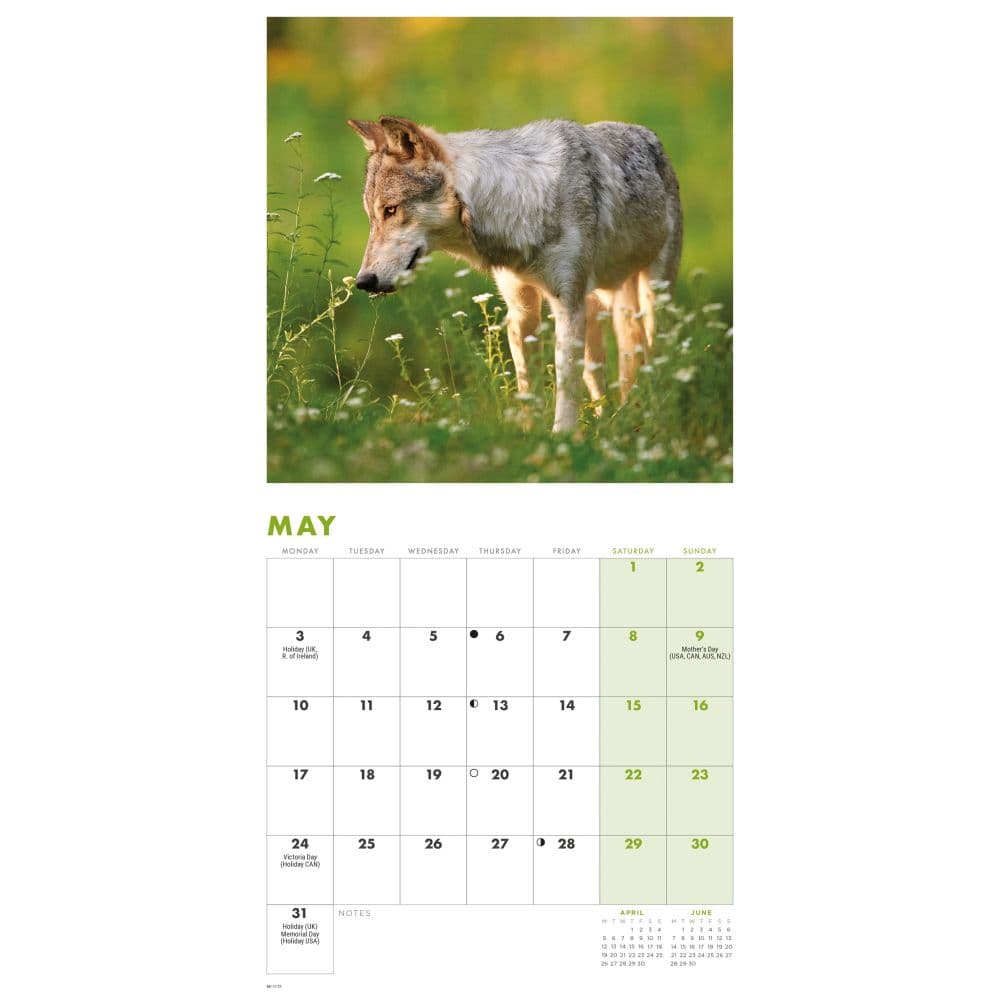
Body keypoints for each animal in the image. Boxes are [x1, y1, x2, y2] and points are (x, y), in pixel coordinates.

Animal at [347, 115, 682, 432]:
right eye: (371, 217)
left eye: (391, 210)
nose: (364, 281)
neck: (520, 204)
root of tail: (647, 134)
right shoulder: (521, 311)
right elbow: (527, 389)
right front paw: (530, 434)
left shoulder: (567, 307)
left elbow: (565, 389)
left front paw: (562, 438)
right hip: (597, 309)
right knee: (606, 374)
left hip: (651, 300)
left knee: (653, 359)